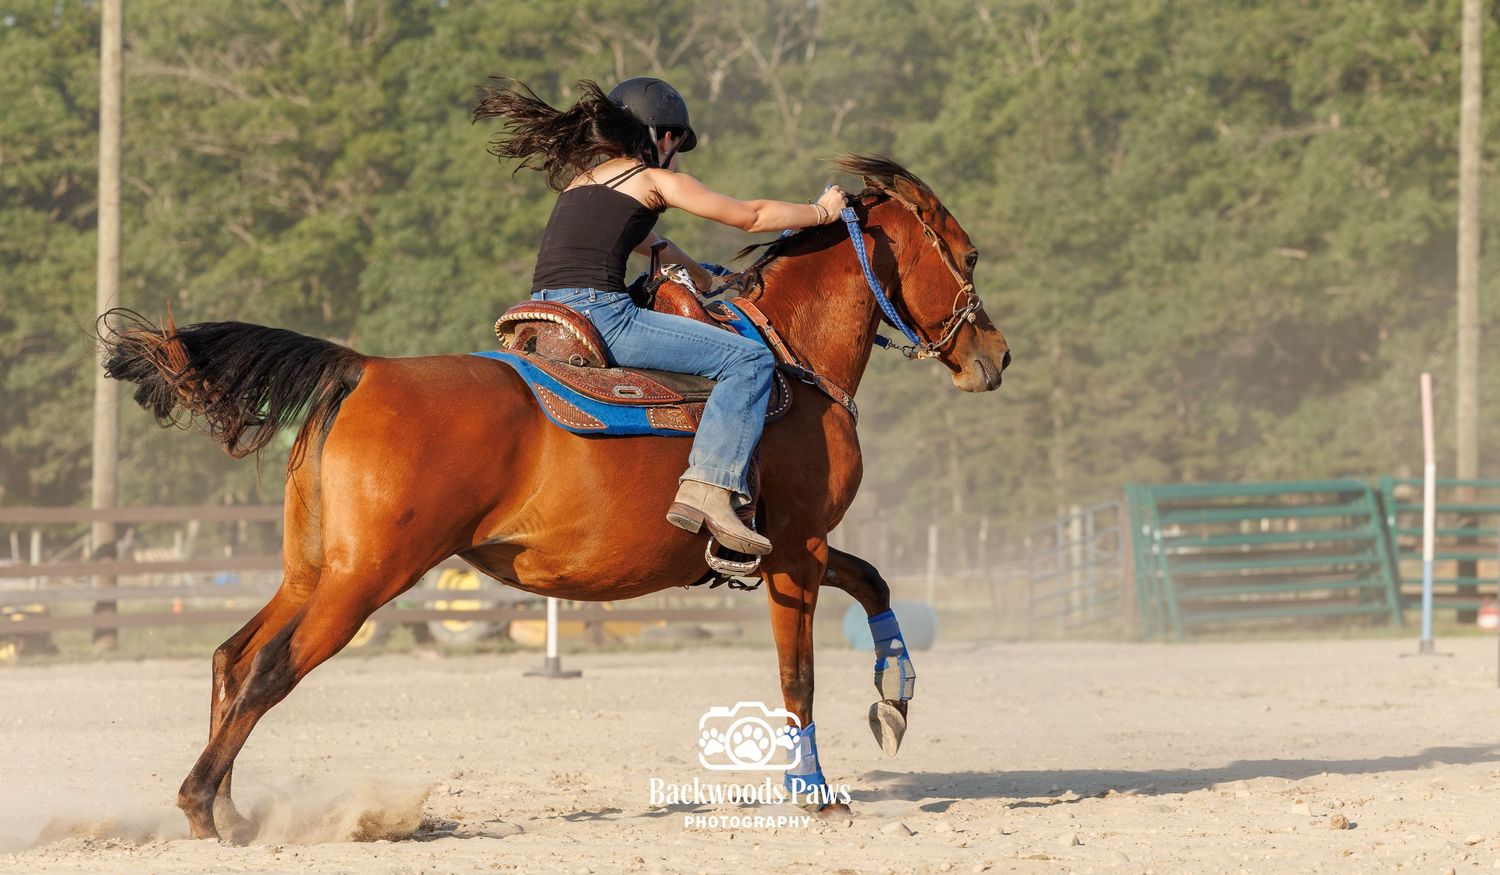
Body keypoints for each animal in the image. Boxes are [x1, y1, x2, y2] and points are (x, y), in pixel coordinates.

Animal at [100, 155, 1010, 839]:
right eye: (966, 256)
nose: (995, 356)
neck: (790, 358)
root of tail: (366, 369)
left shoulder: (806, 546)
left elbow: (877, 583)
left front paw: (895, 700)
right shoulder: (795, 551)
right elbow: (797, 677)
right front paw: (816, 793)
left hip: (312, 569)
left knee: (232, 656)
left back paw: (226, 806)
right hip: (364, 579)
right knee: (268, 669)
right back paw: (202, 806)